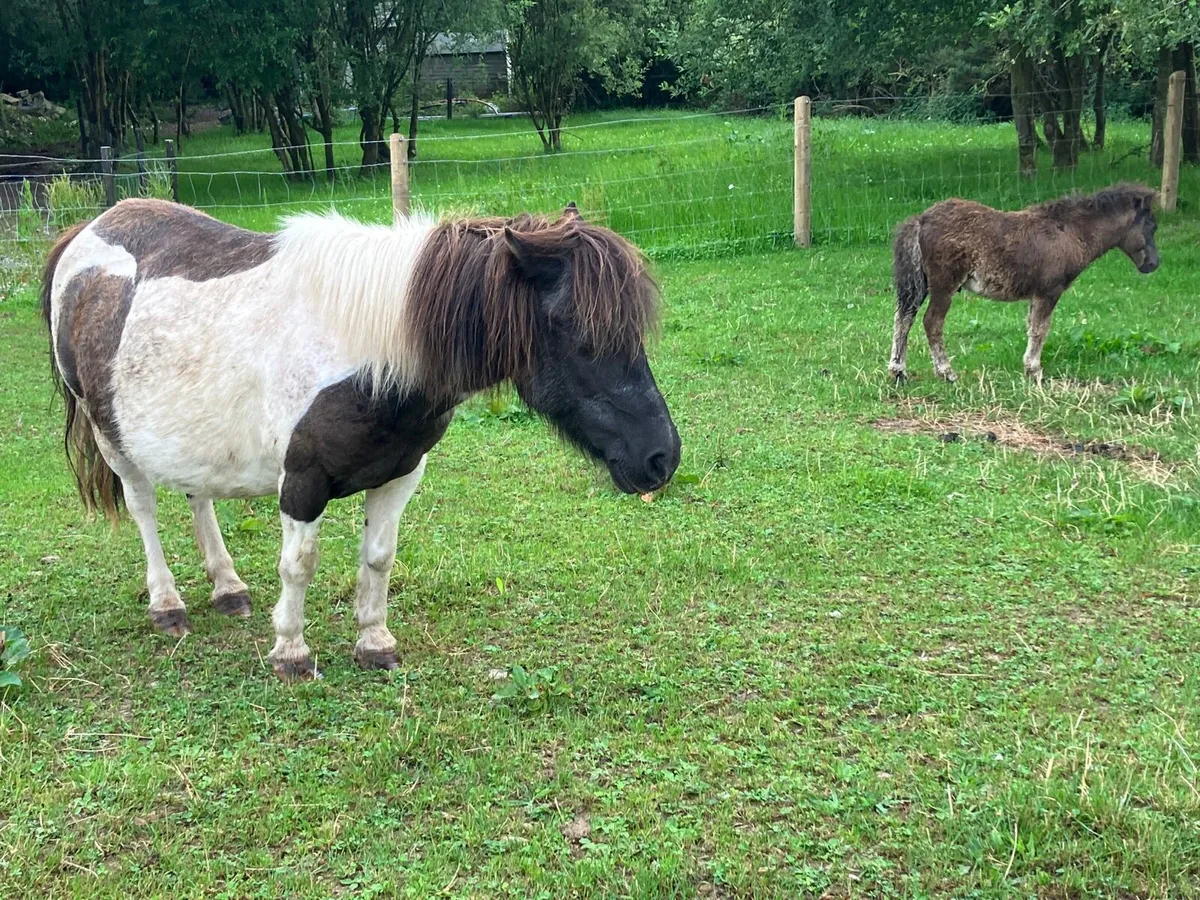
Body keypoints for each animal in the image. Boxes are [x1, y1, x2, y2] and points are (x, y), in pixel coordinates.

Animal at [41, 198, 680, 680]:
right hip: (113, 439)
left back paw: (227, 588)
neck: (374, 353)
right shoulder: (302, 483)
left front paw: (375, 642)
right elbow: (299, 565)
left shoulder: (401, 474)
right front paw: (291, 652)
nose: (662, 457)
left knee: (199, 497)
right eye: (579, 334)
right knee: (144, 508)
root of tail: (87, 231)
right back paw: (167, 604)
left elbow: (378, 558)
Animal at [887, 183, 1160, 383]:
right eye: (1151, 226)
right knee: (931, 322)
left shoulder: (1036, 294)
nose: (1153, 264)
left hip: (921, 284)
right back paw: (946, 372)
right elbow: (1040, 329)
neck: (1070, 233)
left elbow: (1032, 326)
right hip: (944, 285)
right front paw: (1035, 371)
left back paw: (898, 371)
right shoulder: (1049, 291)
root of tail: (922, 219)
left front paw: (1029, 368)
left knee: (904, 318)